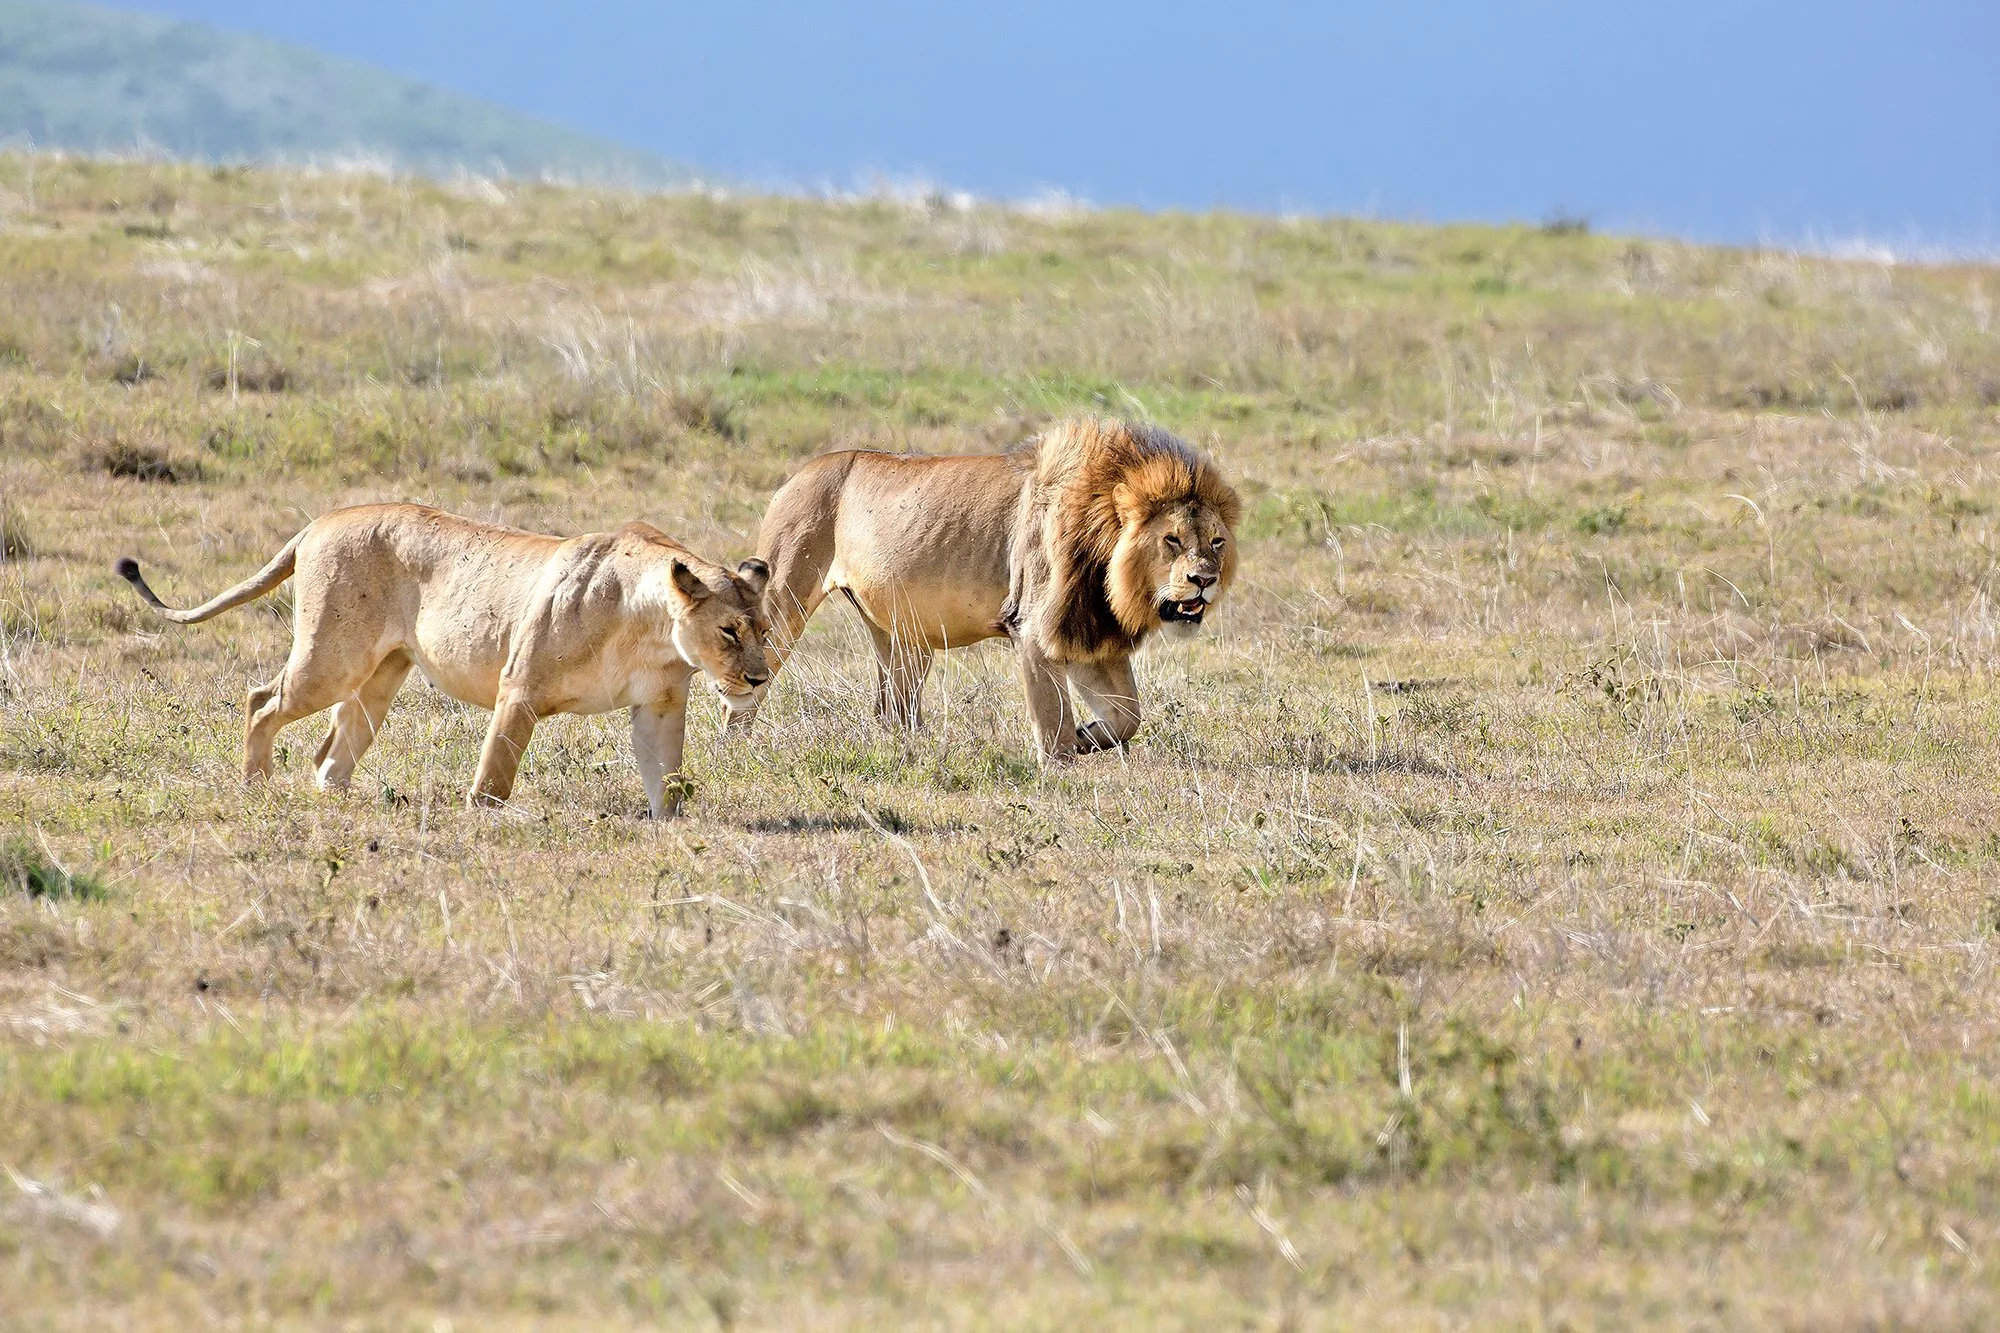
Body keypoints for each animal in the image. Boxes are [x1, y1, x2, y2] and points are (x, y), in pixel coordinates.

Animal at [115, 503, 772, 818]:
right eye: (729, 631)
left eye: (764, 630)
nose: (759, 677)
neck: (649, 629)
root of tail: (320, 521)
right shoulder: (519, 689)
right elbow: (495, 774)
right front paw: (484, 822)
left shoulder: (659, 707)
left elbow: (668, 778)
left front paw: (672, 827)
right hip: (330, 661)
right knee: (260, 701)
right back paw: (256, 786)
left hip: (379, 678)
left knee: (331, 753)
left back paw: (337, 801)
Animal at [741, 417, 1241, 761]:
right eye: (1172, 539)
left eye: (1216, 542)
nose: (1204, 579)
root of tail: (797, 474)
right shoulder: (1036, 628)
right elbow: (1054, 718)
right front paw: (1059, 773)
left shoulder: (1085, 632)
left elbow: (1128, 716)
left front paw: (1088, 738)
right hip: (783, 600)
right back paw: (737, 748)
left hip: (902, 636)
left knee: (892, 712)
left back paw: (911, 754)